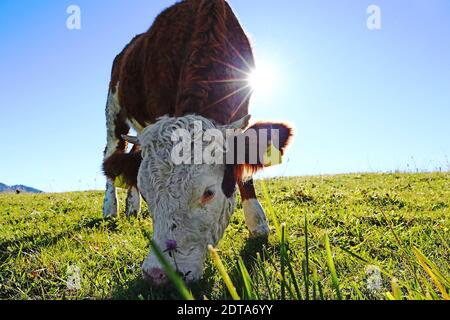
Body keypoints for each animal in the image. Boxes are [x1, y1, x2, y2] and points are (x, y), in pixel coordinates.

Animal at [101, 0, 292, 284]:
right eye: (149, 194)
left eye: (208, 192)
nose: (158, 274)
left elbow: (245, 167)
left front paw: (257, 224)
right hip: (113, 112)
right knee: (111, 155)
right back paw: (110, 207)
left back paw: (131, 208)